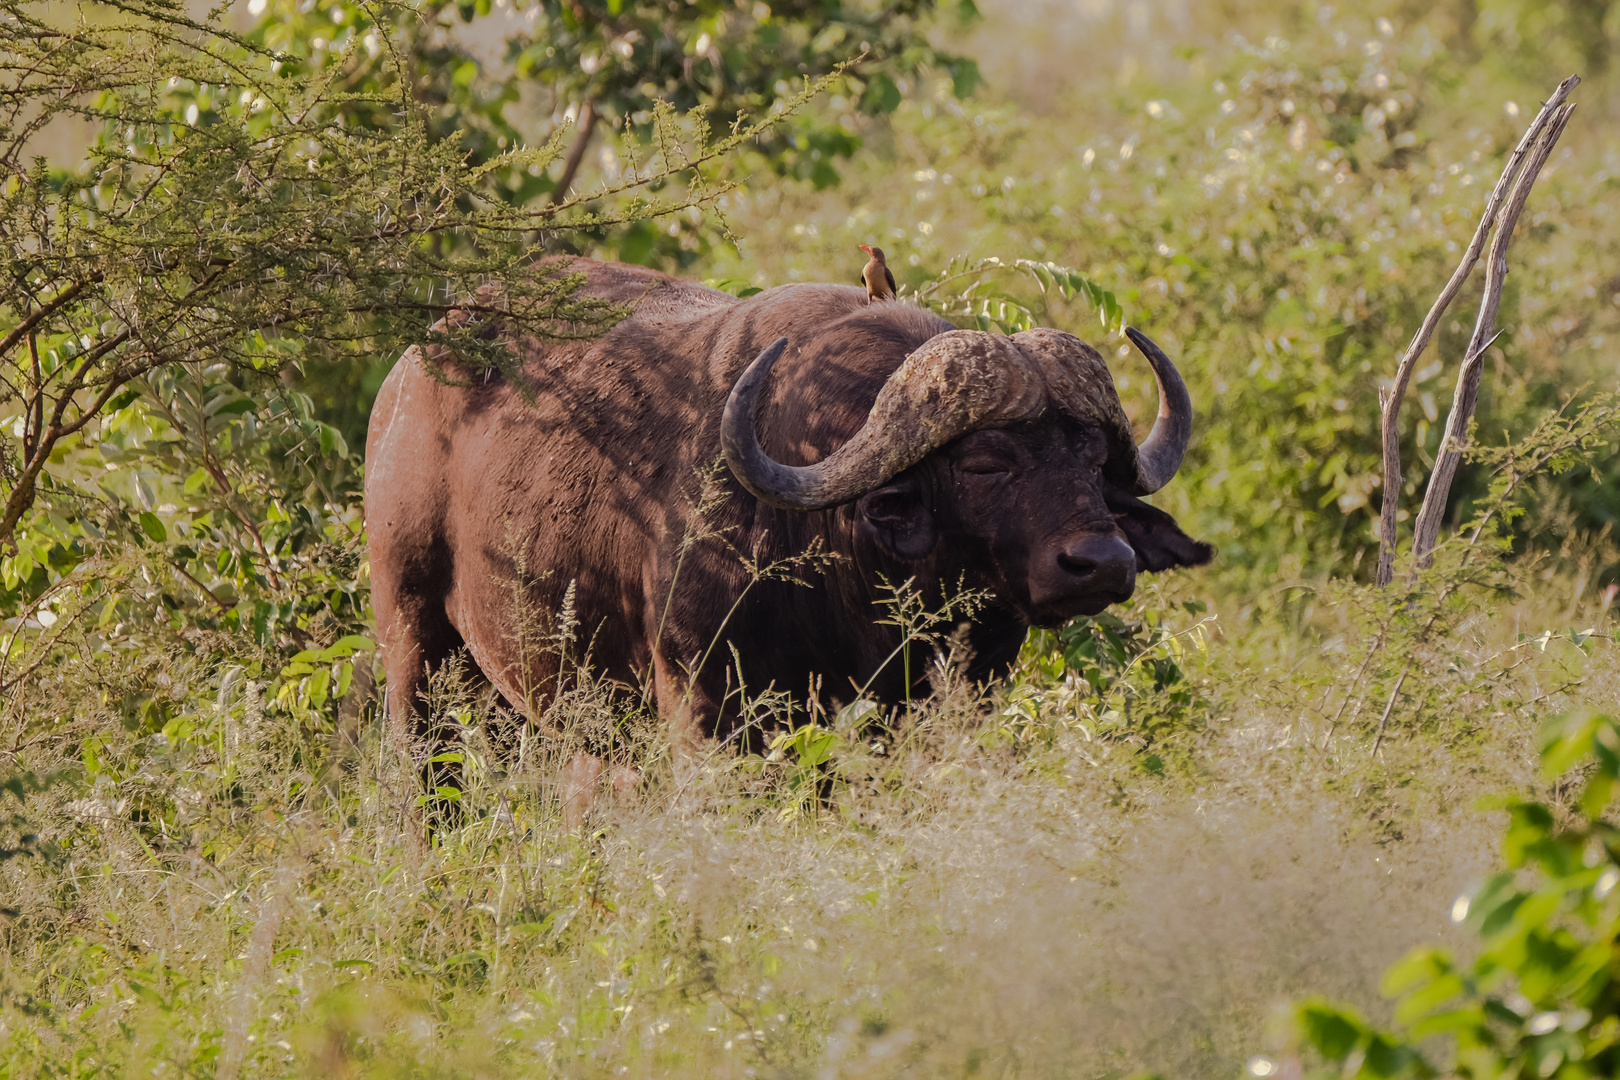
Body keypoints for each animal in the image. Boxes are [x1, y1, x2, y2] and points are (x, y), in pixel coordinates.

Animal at [364, 259, 1205, 757]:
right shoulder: (704, 709)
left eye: (1092, 460)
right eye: (985, 462)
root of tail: (407, 377)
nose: (1101, 562)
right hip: (415, 646)